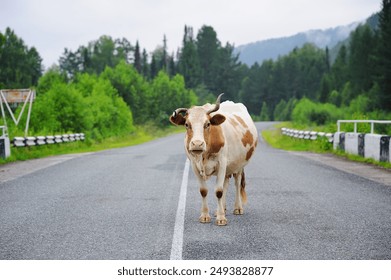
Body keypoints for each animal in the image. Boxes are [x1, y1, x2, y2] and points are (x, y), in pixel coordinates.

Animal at [170, 94, 258, 225]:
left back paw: (237, 208)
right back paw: (221, 209)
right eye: (186, 124)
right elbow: (204, 191)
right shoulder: (194, 165)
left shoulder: (221, 163)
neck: (204, 155)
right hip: (228, 167)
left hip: (239, 165)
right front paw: (205, 215)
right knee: (226, 184)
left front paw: (221, 218)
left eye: (207, 124)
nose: (197, 144)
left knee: (237, 183)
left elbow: (218, 191)